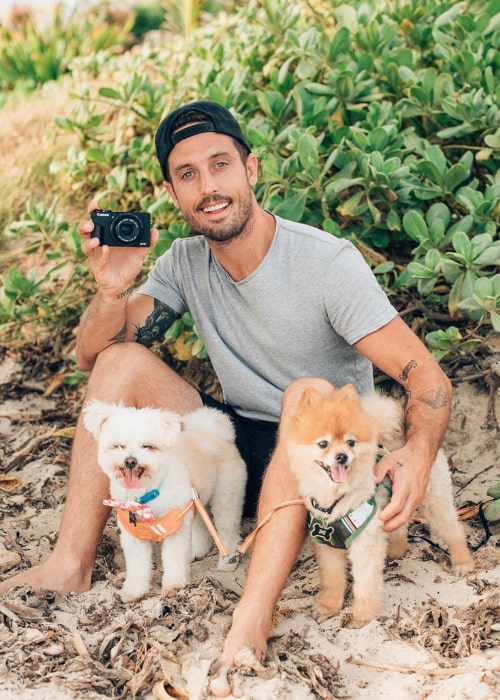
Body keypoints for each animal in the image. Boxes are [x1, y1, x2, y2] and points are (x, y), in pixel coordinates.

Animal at [82, 400, 246, 600]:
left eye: (147, 446)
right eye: (119, 446)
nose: (130, 461)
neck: (146, 496)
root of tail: (218, 433)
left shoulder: (176, 530)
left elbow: (174, 560)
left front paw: (174, 586)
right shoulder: (133, 537)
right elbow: (137, 566)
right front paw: (134, 591)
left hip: (226, 496)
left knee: (228, 529)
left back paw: (227, 561)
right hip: (195, 501)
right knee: (200, 526)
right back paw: (196, 551)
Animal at [284, 386, 474, 628]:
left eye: (351, 442)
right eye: (323, 444)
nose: (342, 456)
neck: (338, 499)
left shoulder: (365, 543)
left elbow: (365, 584)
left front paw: (361, 617)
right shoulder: (327, 546)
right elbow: (332, 579)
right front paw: (328, 607)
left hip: (434, 500)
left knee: (453, 529)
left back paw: (463, 562)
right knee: (399, 528)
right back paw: (394, 551)